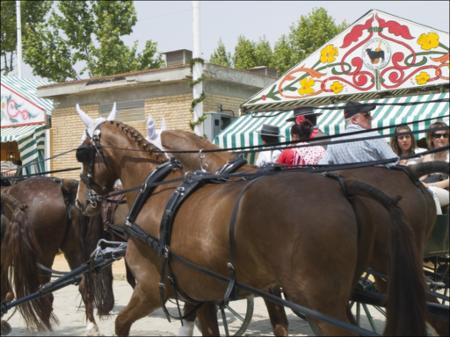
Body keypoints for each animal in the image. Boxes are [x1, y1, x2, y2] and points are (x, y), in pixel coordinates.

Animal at [0, 176, 113, 334]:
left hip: (43, 258)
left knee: (44, 295)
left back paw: (45, 328)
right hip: (74, 250)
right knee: (84, 285)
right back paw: (91, 326)